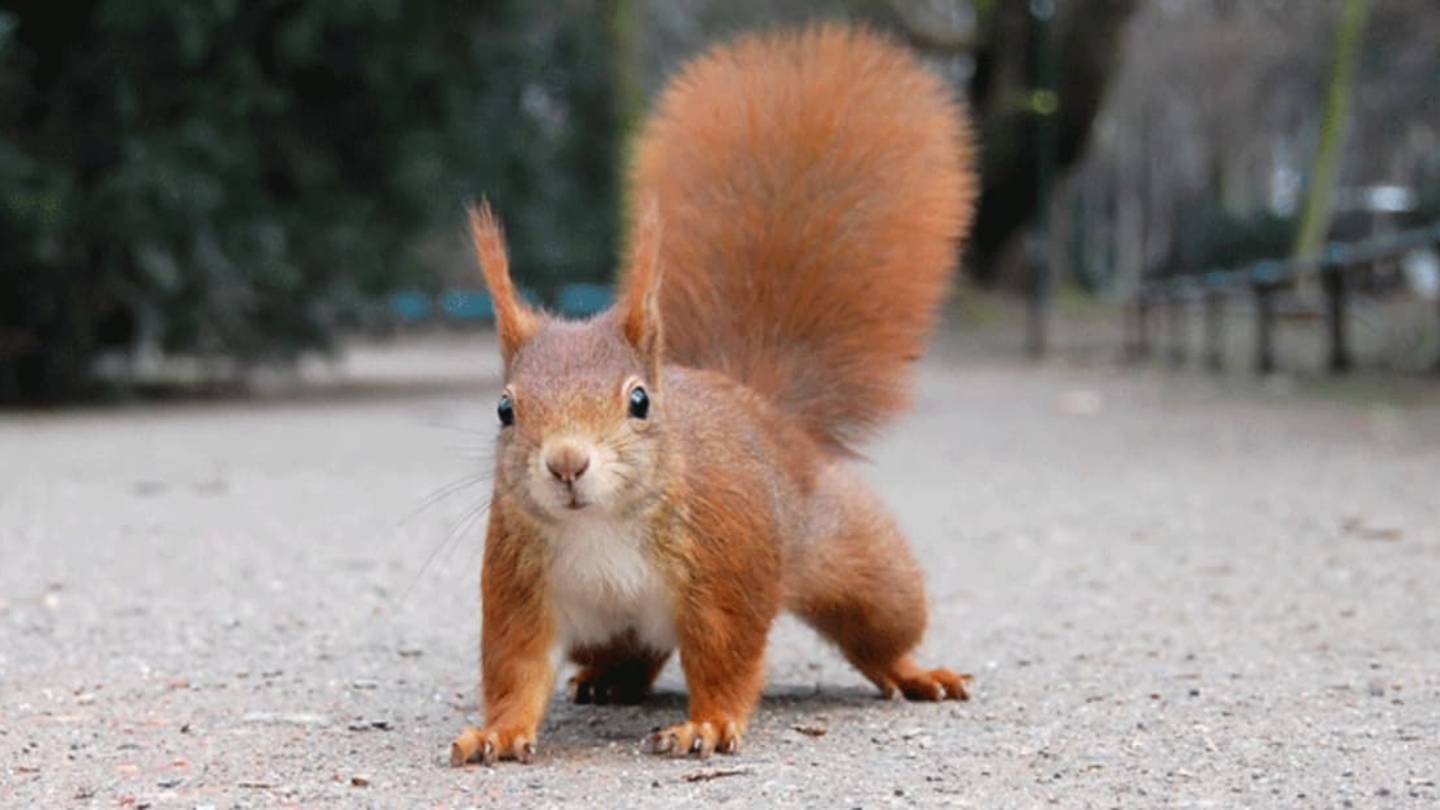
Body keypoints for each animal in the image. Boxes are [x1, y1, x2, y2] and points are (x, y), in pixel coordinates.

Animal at [450, 23, 977, 765]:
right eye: (504, 409)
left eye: (640, 401)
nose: (566, 463)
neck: (599, 526)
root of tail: (764, 406)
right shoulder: (520, 586)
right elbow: (516, 669)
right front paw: (496, 732)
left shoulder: (725, 571)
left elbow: (725, 657)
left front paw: (707, 724)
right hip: (606, 628)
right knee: (633, 652)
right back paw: (607, 680)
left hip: (863, 565)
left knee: (880, 629)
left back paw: (914, 671)